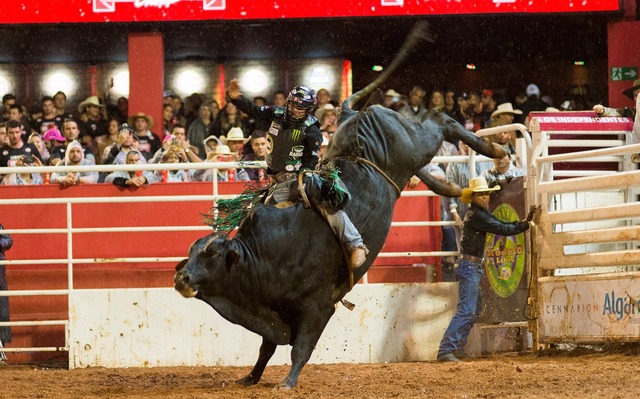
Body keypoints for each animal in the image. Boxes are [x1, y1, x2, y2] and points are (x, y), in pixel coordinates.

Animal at [175, 22, 504, 390]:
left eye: (212, 254)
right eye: (192, 250)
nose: (181, 278)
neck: (261, 257)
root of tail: (354, 114)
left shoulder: (317, 307)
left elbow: (300, 348)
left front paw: (288, 382)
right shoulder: (273, 313)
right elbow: (266, 346)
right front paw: (251, 376)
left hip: (414, 142)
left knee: (440, 120)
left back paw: (494, 147)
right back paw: (452, 183)